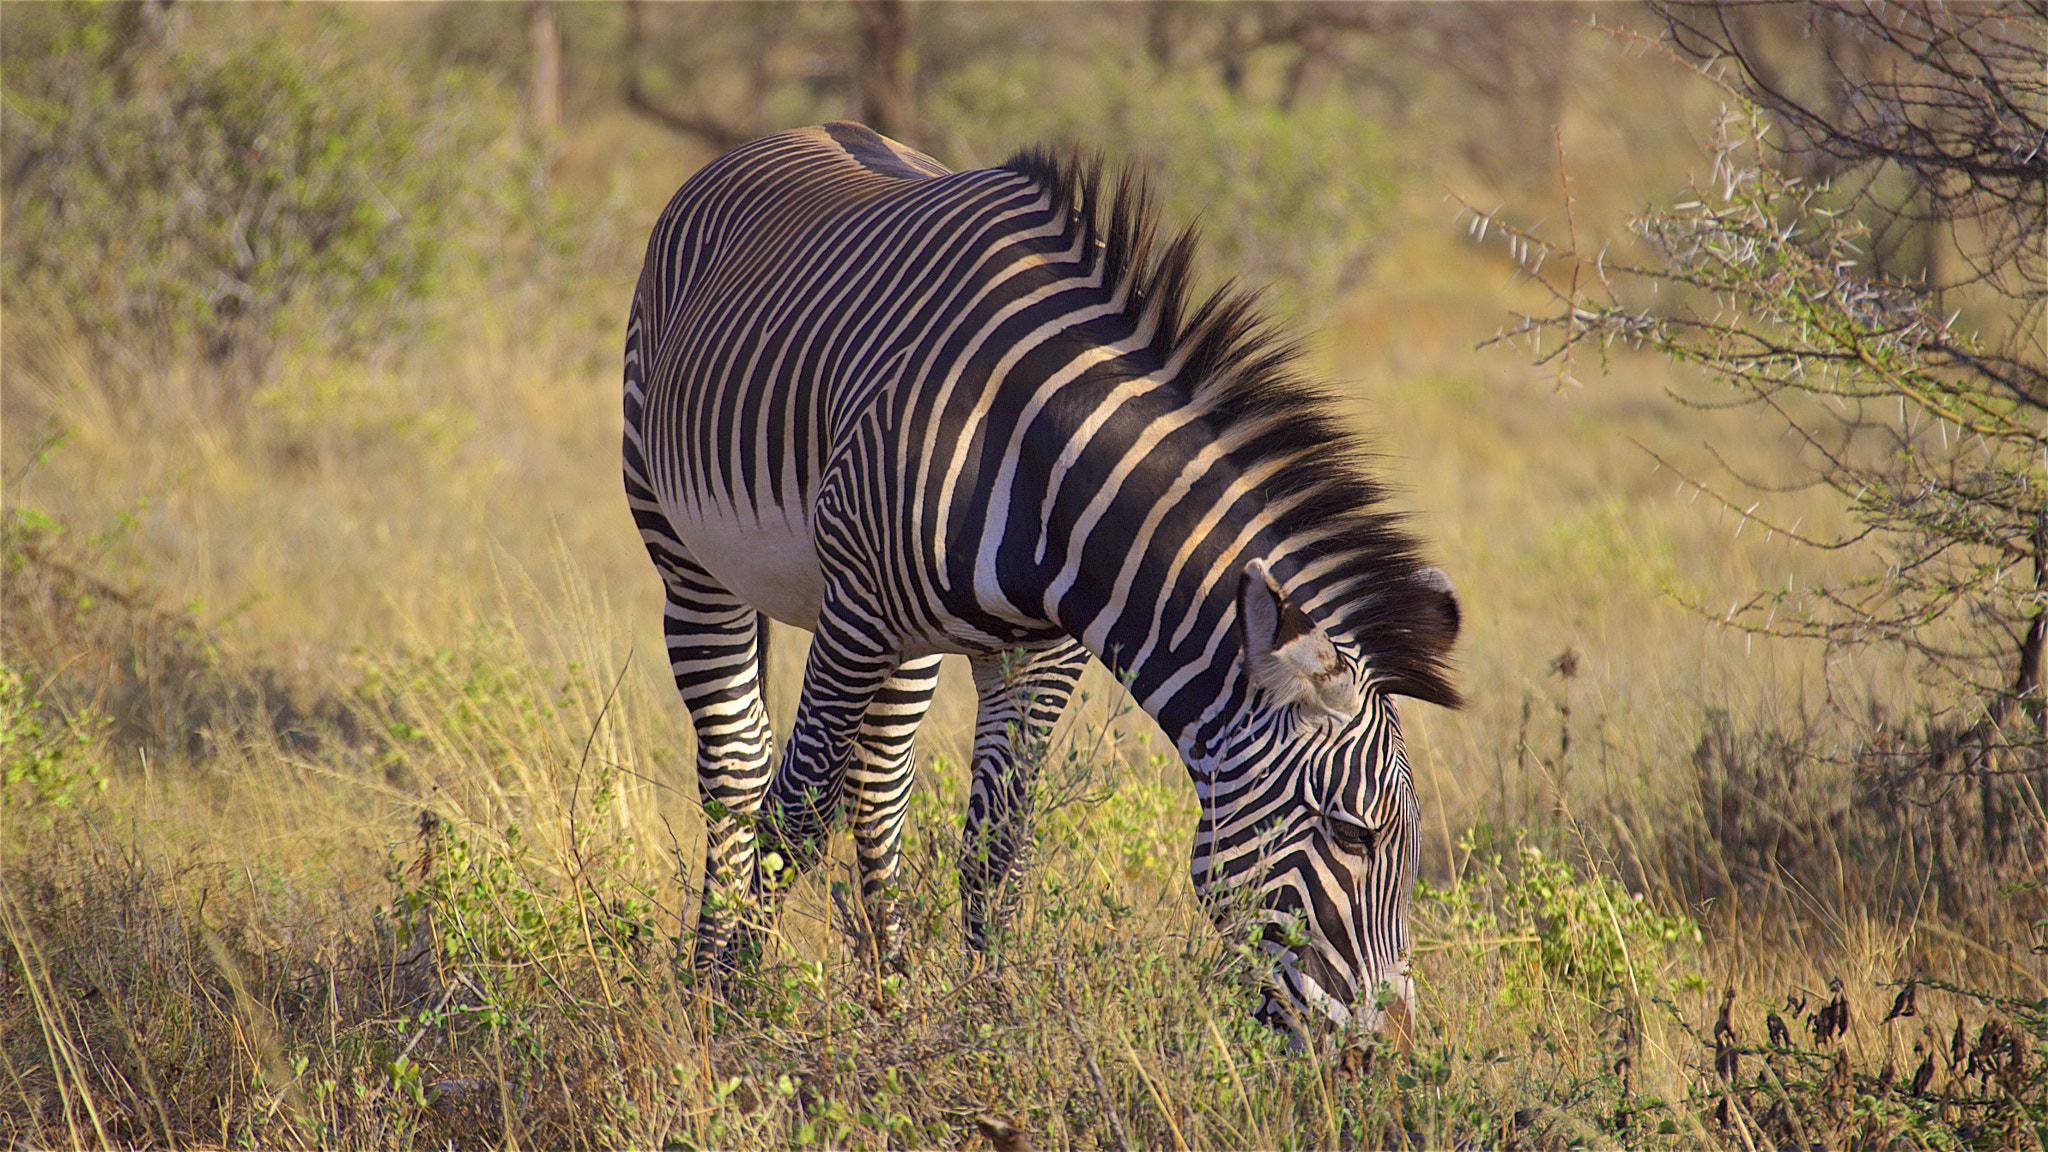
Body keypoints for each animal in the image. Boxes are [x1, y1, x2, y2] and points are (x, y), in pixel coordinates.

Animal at [622, 122, 1460, 1038]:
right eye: (1354, 835)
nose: (1386, 1050)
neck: (1041, 460)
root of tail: (788, 135)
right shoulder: (857, 612)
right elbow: (797, 811)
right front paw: (737, 1010)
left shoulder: (1042, 651)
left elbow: (997, 848)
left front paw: (990, 1020)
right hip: (685, 553)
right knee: (739, 769)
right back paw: (706, 979)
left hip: (910, 643)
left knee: (877, 785)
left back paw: (891, 992)